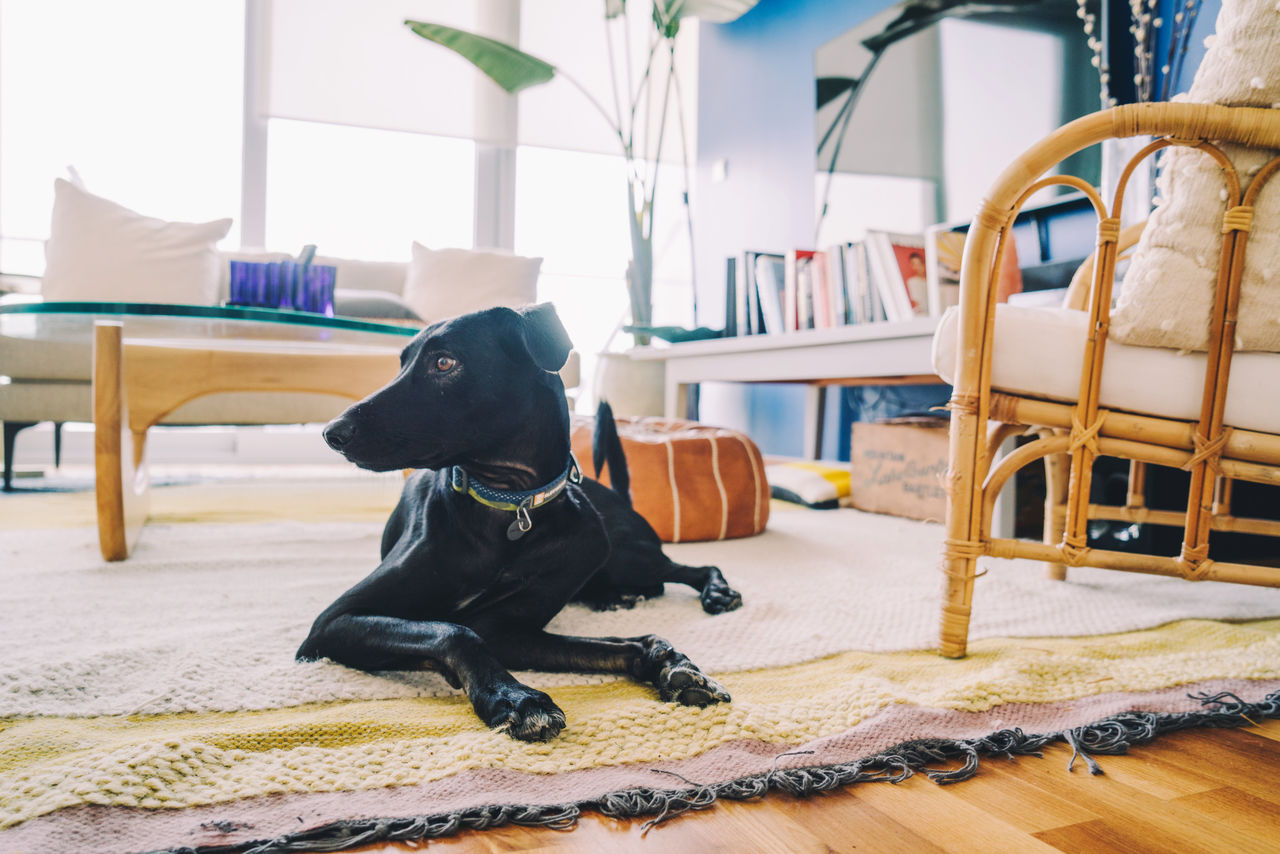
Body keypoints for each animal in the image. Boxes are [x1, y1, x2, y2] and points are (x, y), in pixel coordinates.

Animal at [298, 306, 742, 742]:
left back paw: (713, 591)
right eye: (403, 363)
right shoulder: (334, 623)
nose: (331, 433)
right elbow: (454, 630)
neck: (508, 505)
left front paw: (670, 665)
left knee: (689, 568)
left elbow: (609, 643)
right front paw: (514, 698)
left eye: (444, 362)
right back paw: (614, 598)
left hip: (618, 554)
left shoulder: (507, 627)